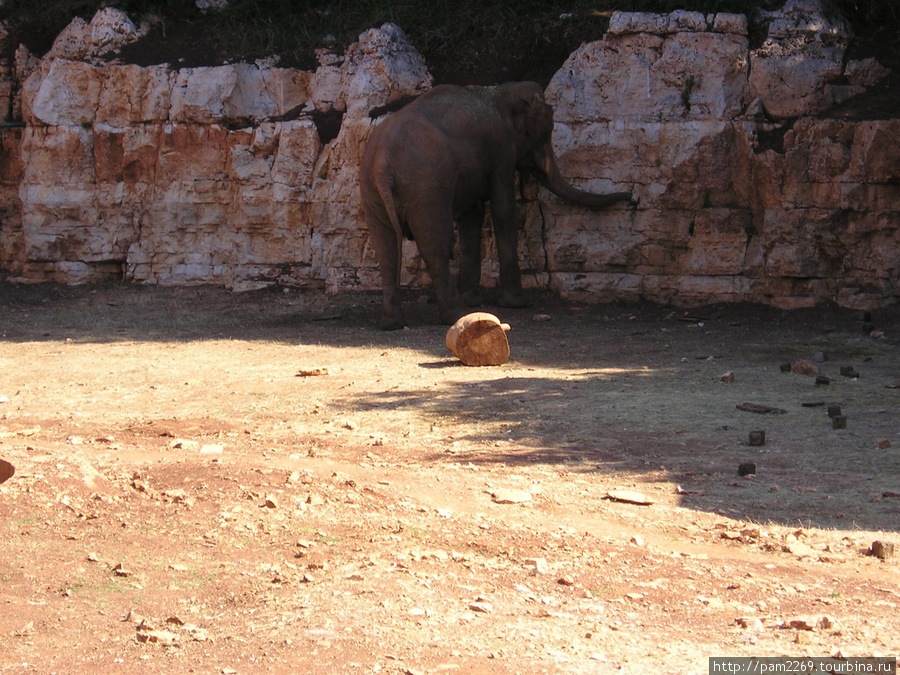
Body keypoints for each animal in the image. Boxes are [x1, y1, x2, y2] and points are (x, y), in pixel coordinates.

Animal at [360, 80, 632, 332]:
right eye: (545, 132)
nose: (631, 197)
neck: (499, 91)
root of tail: (382, 161)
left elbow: (472, 216)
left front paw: (473, 299)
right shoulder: (501, 150)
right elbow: (503, 209)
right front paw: (516, 304)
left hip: (373, 192)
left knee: (386, 249)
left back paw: (393, 323)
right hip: (426, 187)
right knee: (436, 243)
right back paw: (455, 315)